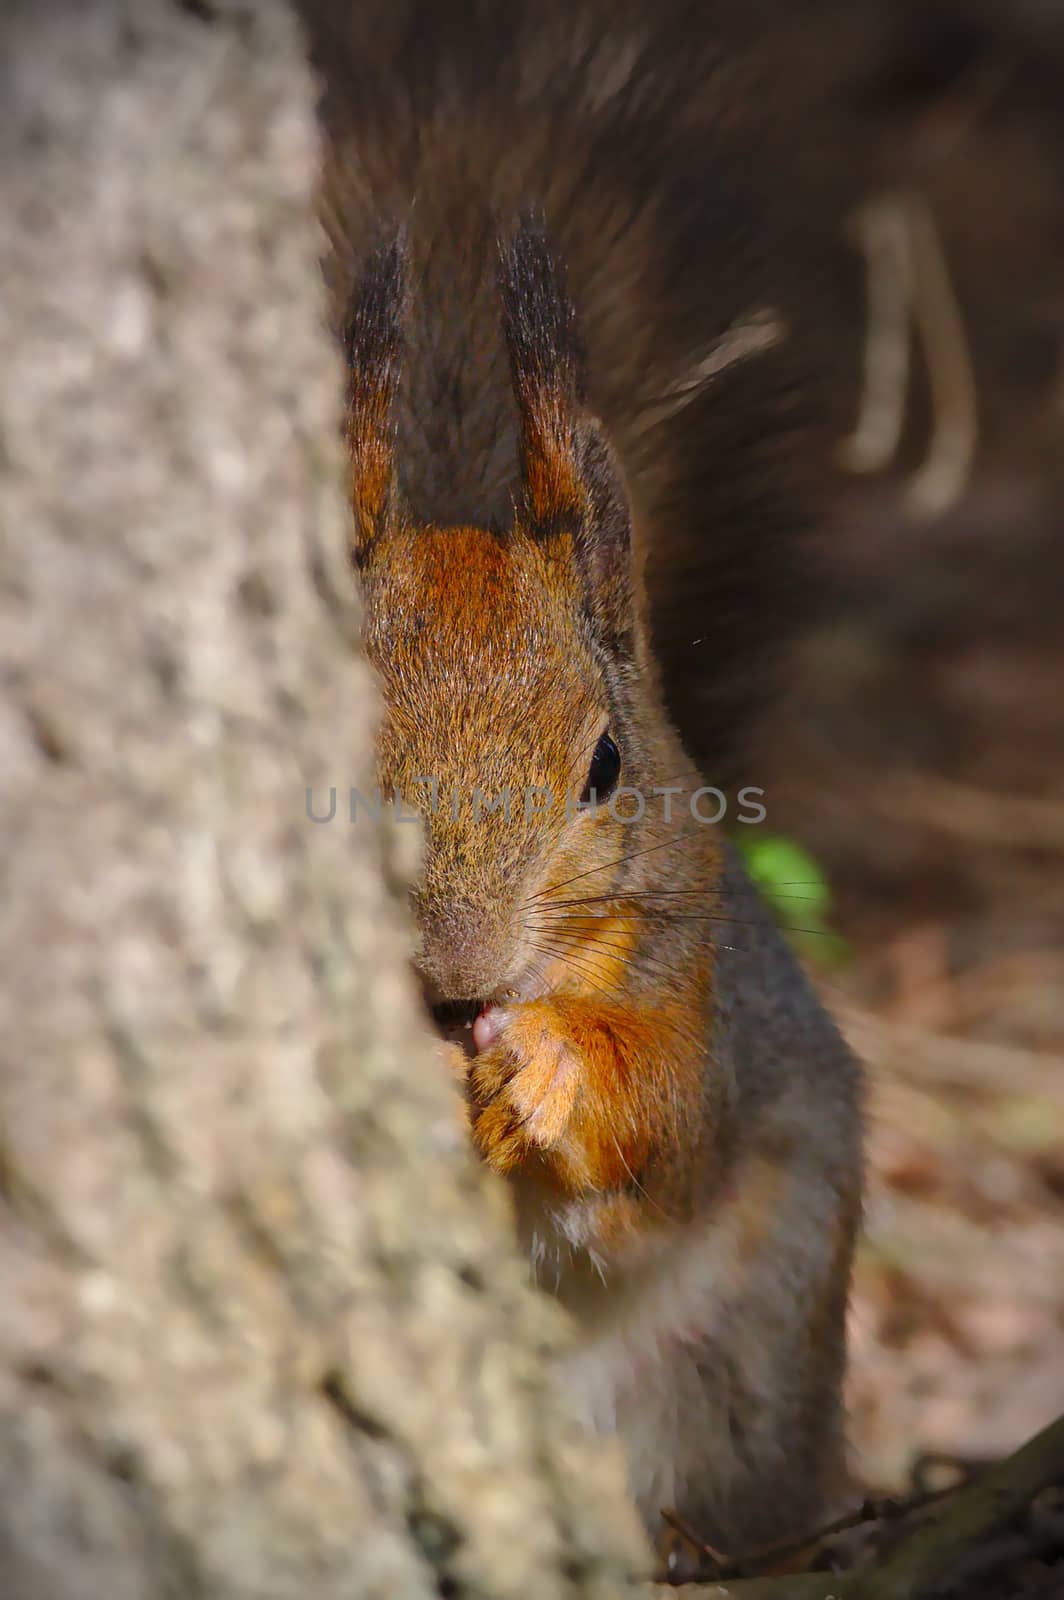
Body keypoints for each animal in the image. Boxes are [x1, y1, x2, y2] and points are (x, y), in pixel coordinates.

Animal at [294, 0, 857, 1561]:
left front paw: (550, 1064)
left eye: (607, 764)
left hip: (738, 1354)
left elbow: (666, 1130)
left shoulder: (694, 978)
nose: (459, 977)